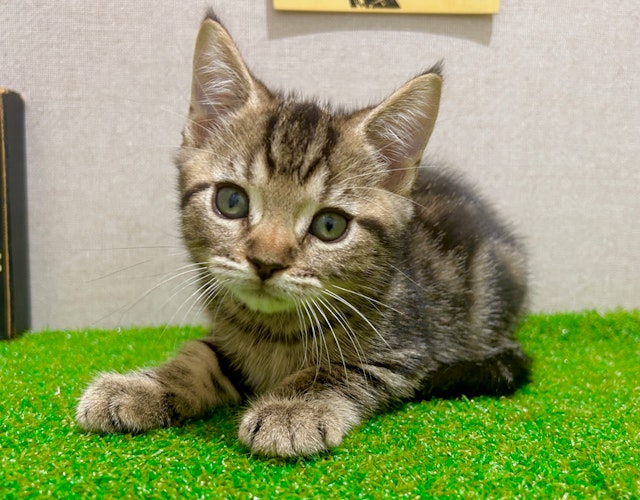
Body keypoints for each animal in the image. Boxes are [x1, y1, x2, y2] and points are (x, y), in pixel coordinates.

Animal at [76, 11, 528, 458]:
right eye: (231, 201)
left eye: (330, 225)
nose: (266, 262)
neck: (273, 329)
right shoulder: (225, 336)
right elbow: (196, 357)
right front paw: (138, 388)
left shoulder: (406, 350)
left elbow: (334, 369)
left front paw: (292, 410)